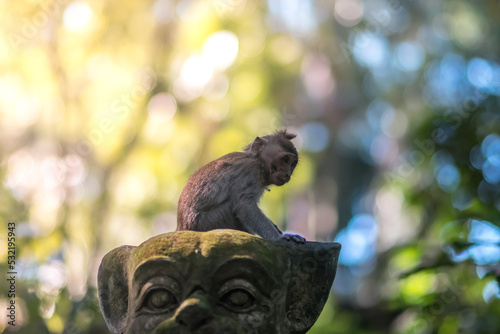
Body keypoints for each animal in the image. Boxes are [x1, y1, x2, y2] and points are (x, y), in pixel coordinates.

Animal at [178, 130, 306, 243]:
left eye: (292, 164)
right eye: (285, 160)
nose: (288, 174)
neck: (258, 162)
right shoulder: (249, 171)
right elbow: (245, 206)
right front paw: (279, 237)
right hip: (208, 222)